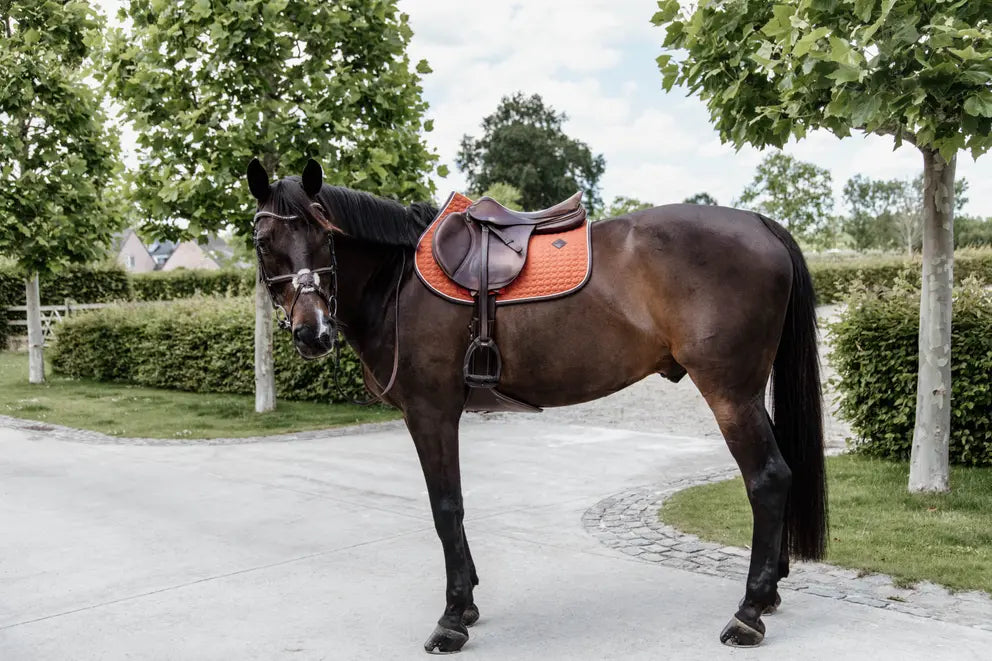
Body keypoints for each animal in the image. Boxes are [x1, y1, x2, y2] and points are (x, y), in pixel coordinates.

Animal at [248, 157, 828, 652]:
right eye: (262, 240)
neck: (400, 283)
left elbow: (445, 506)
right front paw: (468, 602)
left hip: (730, 393)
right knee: (779, 472)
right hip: (748, 392)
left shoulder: (431, 411)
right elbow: (453, 507)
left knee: (768, 478)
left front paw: (452, 618)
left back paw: (748, 613)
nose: (313, 333)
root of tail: (760, 224)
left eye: (325, 234)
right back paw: (770, 594)